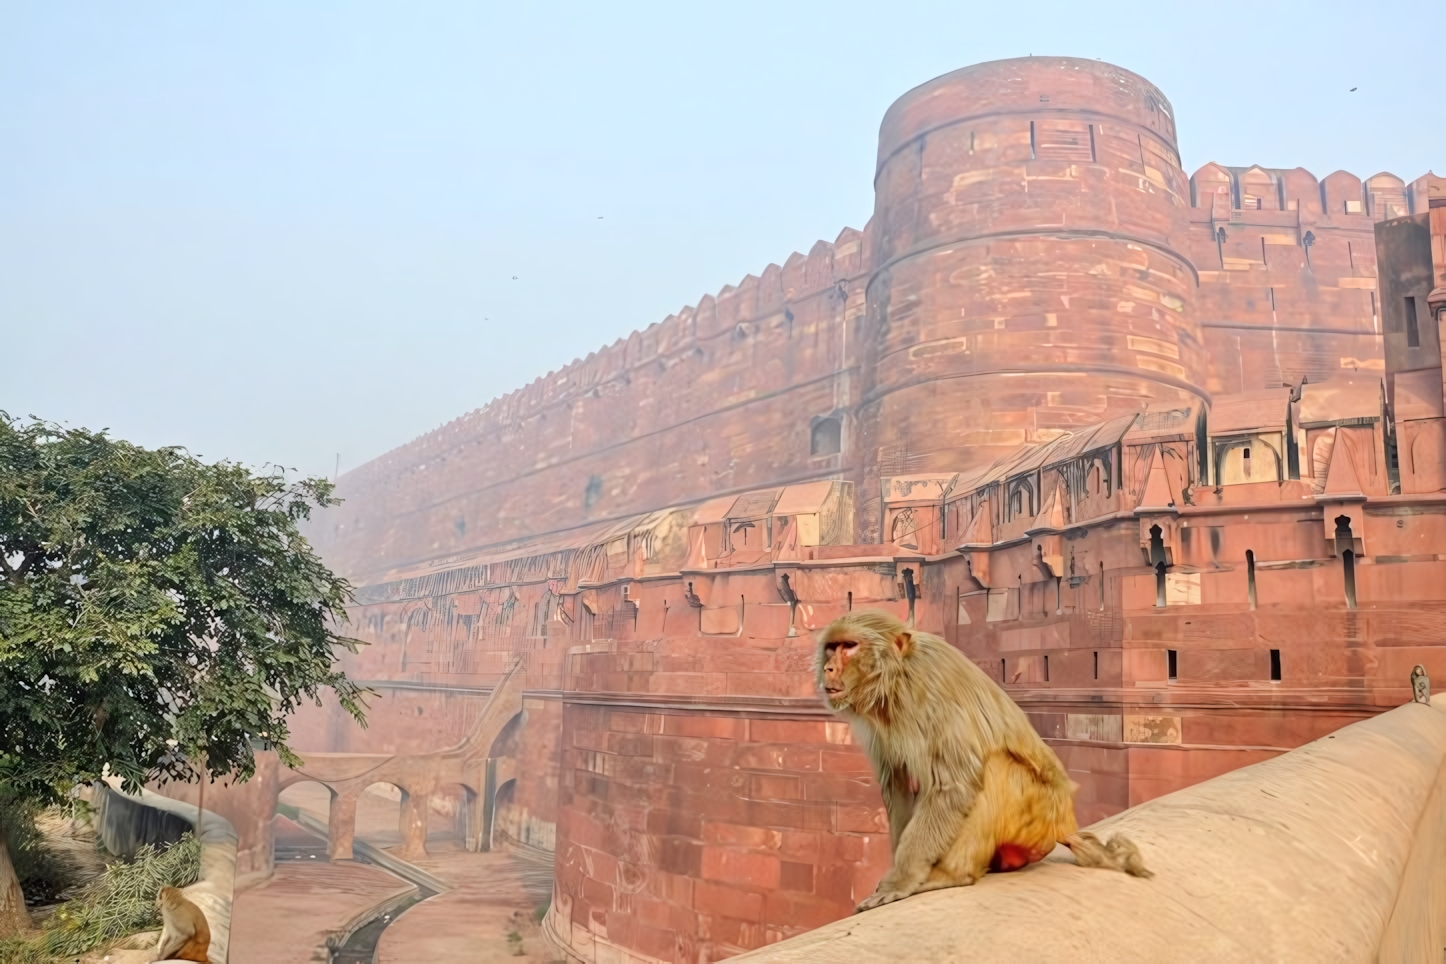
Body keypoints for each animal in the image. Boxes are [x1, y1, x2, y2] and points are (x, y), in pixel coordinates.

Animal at [821, 609, 1145, 913]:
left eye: (849, 646)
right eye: (831, 647)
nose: (828, 667)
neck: (896, 678)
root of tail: (1065, 825)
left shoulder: (927, 692)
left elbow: (953, 785)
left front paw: (902, 880)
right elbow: (898, 783)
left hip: (1038, 816)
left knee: (994, 769)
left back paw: (954, 875)